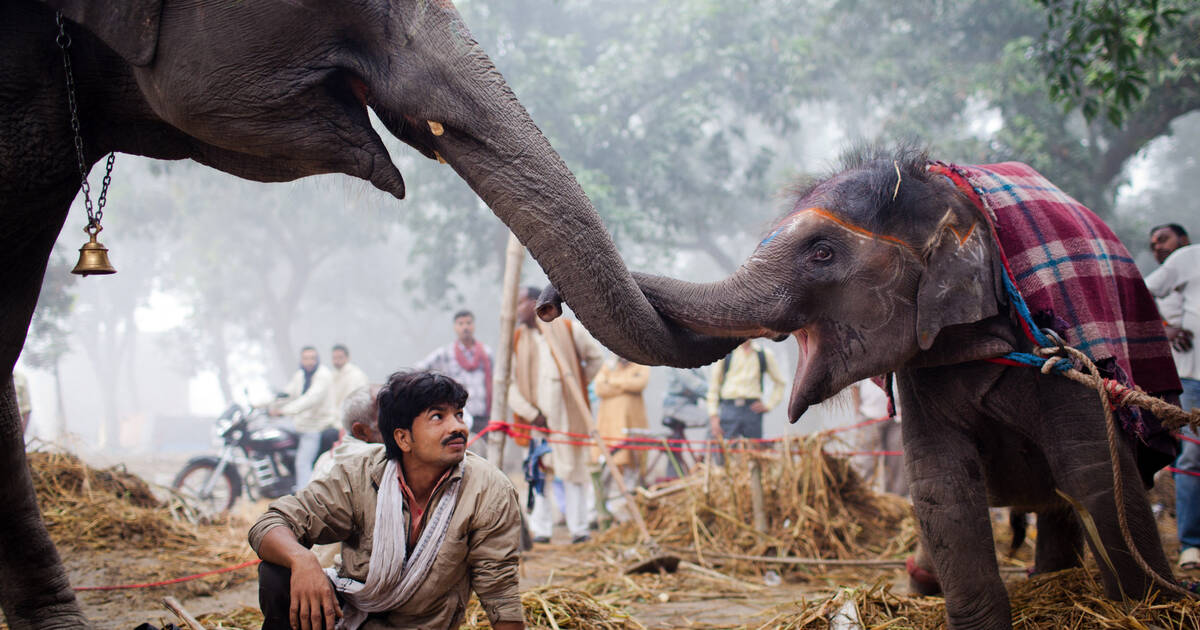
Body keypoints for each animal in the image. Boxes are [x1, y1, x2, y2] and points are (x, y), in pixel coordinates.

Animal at [590, 146, 1180, 624]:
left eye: (822, 252)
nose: (553, 303)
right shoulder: (925, 369)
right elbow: (940, 485)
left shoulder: (1063, 352)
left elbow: (1095, 473)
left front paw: (1148, 607)